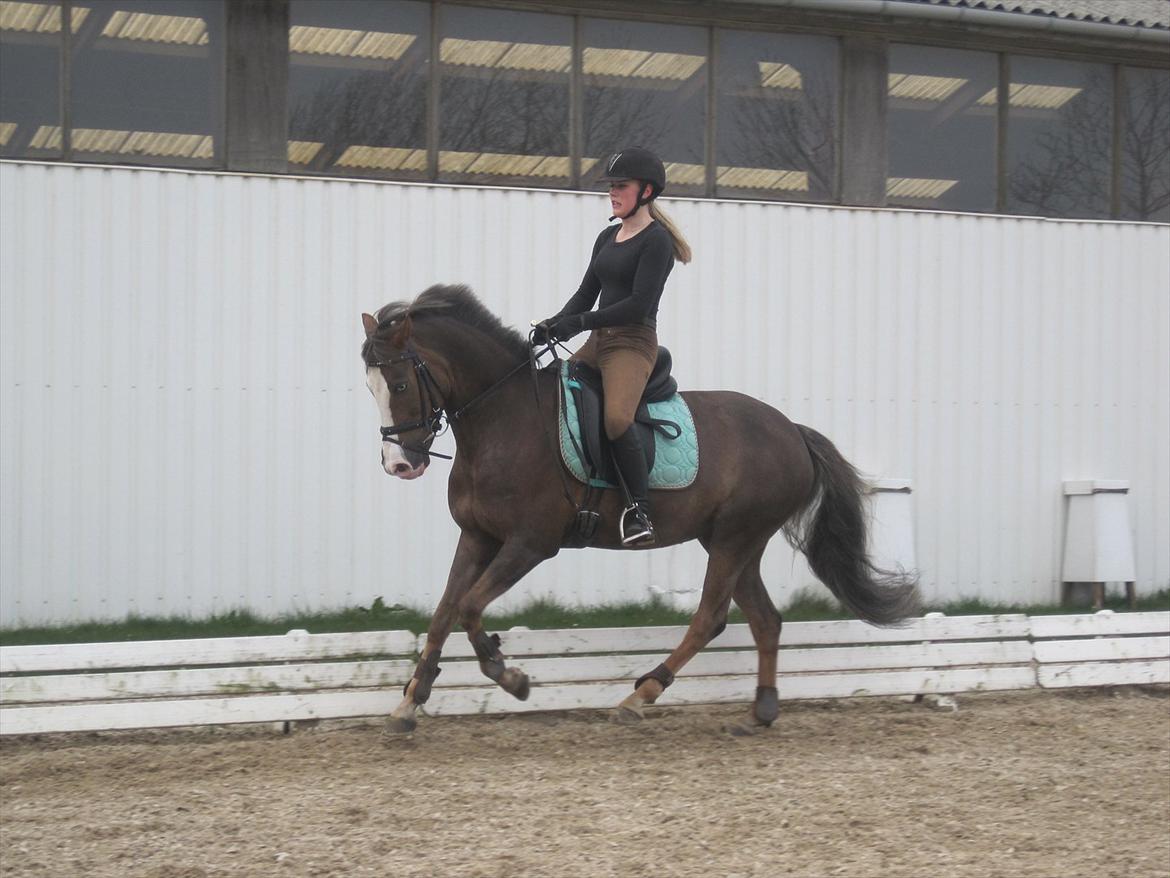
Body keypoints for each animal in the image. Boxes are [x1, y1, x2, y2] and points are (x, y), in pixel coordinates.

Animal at [361, 284, 919, 733]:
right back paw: (760, 712)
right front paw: (409, 704)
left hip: (736, 537)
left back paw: (640, 696)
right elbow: (443, 613)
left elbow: (471, 607)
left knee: (711, 617)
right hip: (733, 540)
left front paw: (511, 677)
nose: (399, 464)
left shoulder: (530, 544)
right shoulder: (477, 536)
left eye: (402, 384)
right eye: (371, 387)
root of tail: (793, 432)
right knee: (765, 620)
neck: (502, 421)